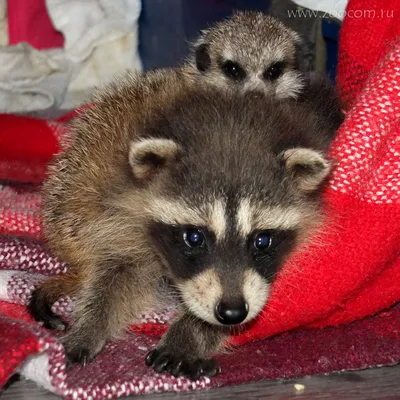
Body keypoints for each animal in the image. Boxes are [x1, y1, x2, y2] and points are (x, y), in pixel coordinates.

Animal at [29, 68, 340, 378]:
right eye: (194, 237)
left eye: (262, 240)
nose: (232, 312)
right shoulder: (121, 218)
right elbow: (118, 274)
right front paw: (90, 325)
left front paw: (191, 333)